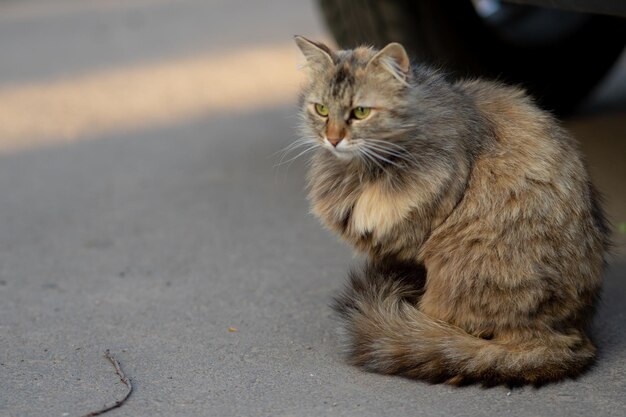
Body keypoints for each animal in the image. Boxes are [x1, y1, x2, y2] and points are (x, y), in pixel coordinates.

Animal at [294, 35, 608, 386]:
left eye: (360, 112)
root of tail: (569, 334)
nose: (332, 139)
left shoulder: (412, 243)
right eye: (321, 109)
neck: (364, 173)